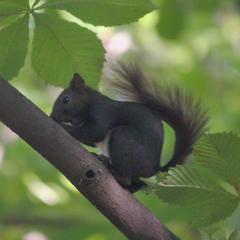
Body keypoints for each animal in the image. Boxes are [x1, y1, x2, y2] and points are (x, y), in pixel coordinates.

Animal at [50, 62, 208, 193]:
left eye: (66, 100)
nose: (53, 116)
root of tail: (154, 170)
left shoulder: (102, 112)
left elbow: (96, 131)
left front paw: (64, 127)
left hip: (124, 138)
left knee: (125, 179)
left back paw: (109, 167)